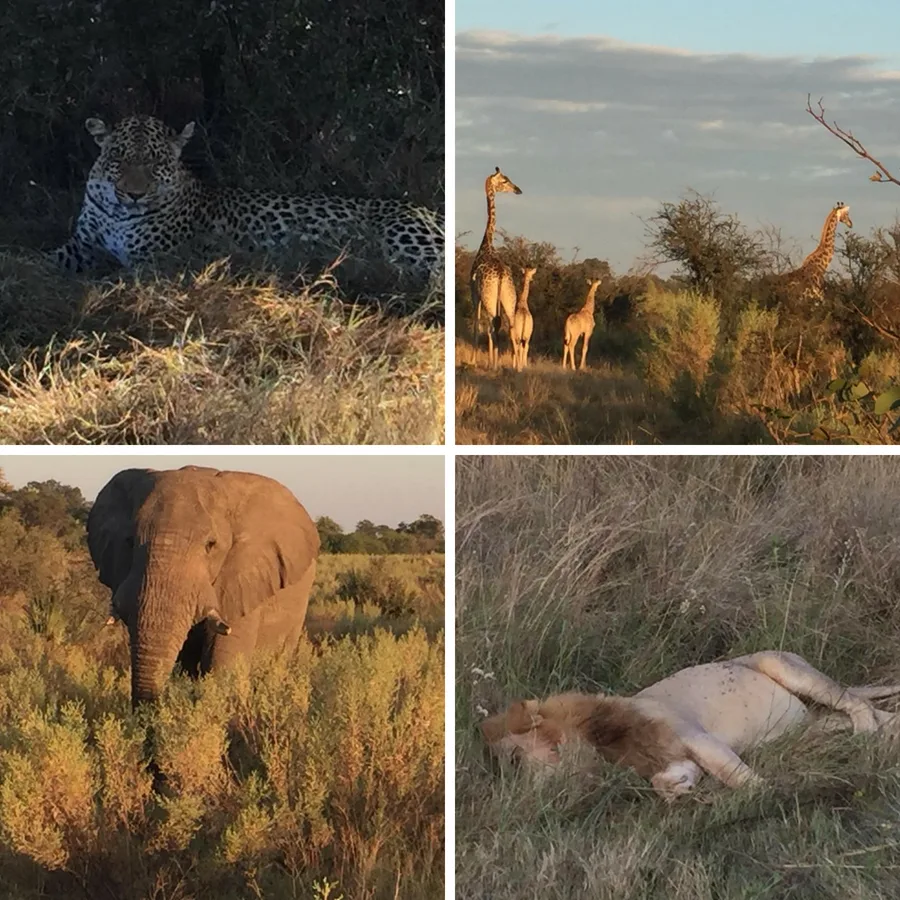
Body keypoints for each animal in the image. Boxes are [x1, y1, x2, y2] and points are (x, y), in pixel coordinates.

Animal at [470, 167, 522, 367]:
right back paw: (517, 368)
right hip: (508, 296)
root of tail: (500, 274)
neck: (487, 244)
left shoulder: (475, 294)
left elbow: (477, 324)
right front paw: (494, 360)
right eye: (504, 180)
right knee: (510, 326)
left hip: (489, 296)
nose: (518, 190)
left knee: (493, 323)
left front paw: (474, 361)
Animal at [480, 651, 900, 801]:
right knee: (873, 714)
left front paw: (768, 794)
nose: (518, 796)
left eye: (514, 761)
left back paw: (868, 734)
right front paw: (678, 788)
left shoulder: (698, 737)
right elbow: (664, 779)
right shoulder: (668, 756)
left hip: (787, 667)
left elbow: (734, 775)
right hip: (817, 724)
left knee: (858, 703)